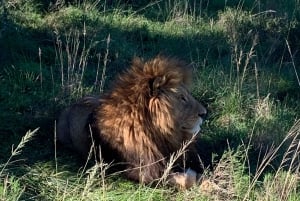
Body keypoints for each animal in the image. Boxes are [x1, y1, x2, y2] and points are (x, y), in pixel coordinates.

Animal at [56, 55, 206, 189]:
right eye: (182, 98)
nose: (204, 114)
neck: (158, 132)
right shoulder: (142, 172)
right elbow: (186, 180)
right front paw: (191, 176)